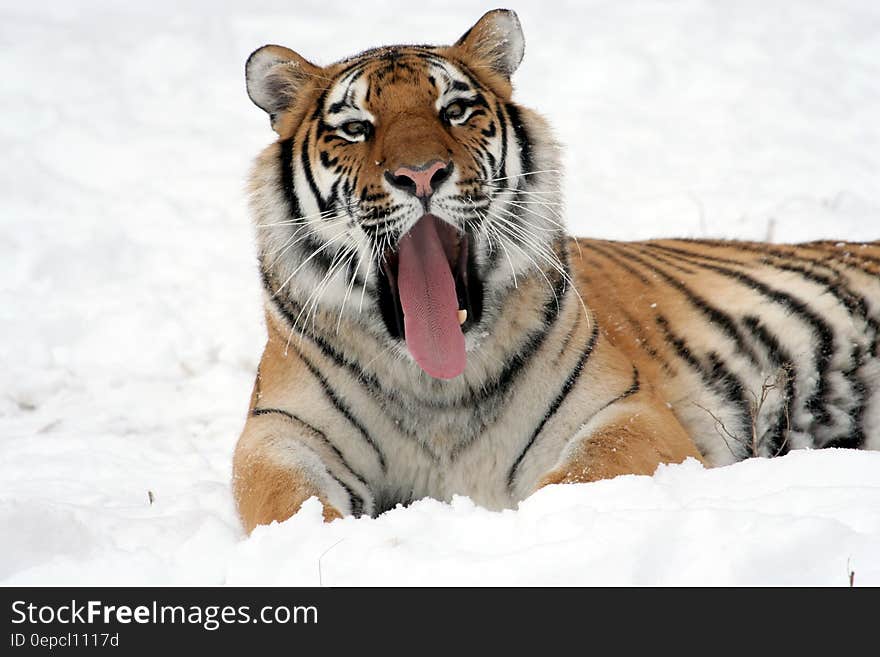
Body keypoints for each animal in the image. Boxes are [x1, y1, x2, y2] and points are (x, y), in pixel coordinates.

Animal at [234, 7, 880, 532]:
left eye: (456, 111)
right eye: (355, 128)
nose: (421, 175)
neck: (437, 388)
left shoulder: (625, 412)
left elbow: (579, 478)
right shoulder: (280, 430)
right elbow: (287, 501)